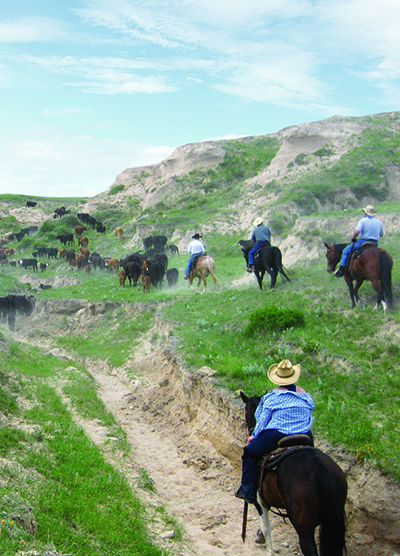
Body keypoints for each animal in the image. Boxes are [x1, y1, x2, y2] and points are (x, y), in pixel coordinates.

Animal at [241, 390, 346, 556]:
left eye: (246, 410)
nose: (251, 433)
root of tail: (320, 467)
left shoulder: (259, 499)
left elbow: (267, 526)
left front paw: (267, 546)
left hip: (304, 530)